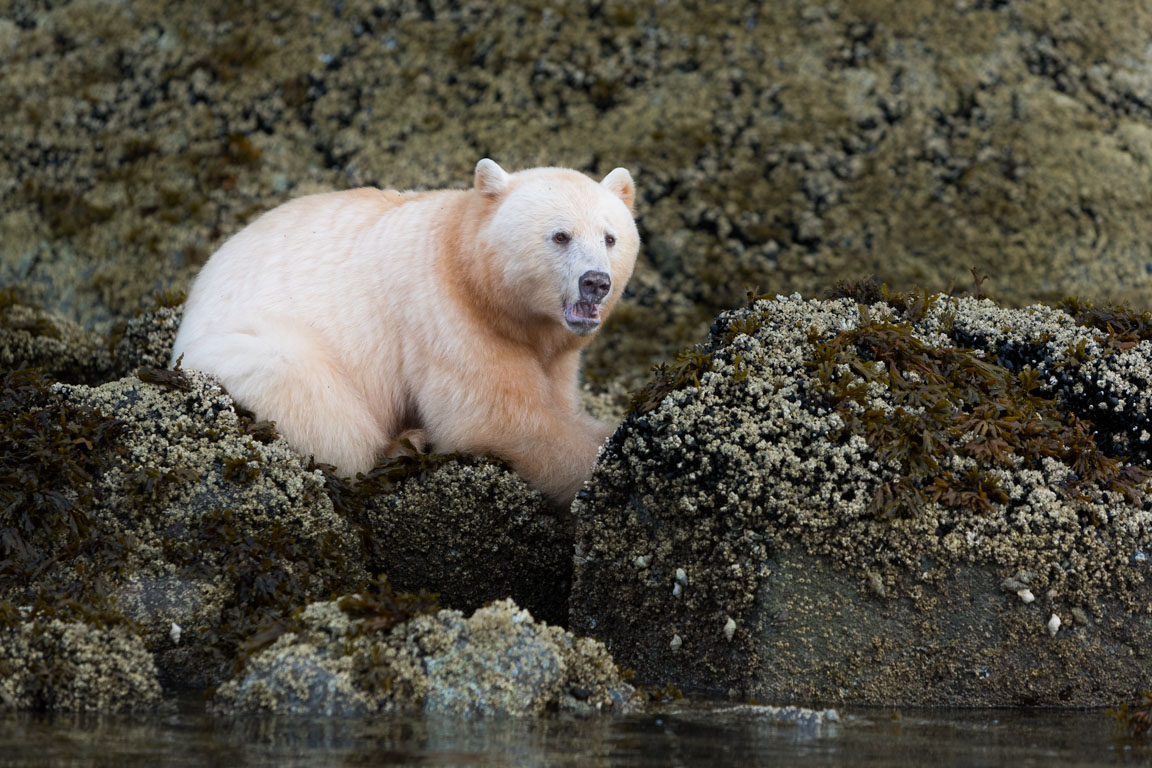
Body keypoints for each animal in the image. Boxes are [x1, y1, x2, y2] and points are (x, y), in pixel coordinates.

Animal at [170, 158, 640, 504]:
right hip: (243, 350)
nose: (596, 282)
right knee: (317, 401)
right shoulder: (448, 318)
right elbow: (497, 420)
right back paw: (401, 445)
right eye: (560, 236)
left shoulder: (555, 353)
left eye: (610, 238)